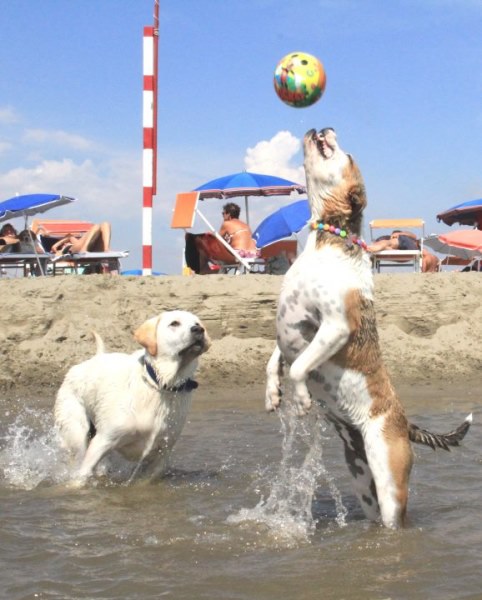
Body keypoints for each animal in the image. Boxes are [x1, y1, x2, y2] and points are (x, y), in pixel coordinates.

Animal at [54, 312, 209, 486]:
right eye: (174, 323)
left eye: (198, 323)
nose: (198, 329)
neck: (160, 385)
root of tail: (94, 358)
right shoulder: (103, 441)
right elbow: (82, 475)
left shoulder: (162, 453)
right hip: (76, 430)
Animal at [264, 127, 470, 528]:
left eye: (348, 156)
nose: (324, 127)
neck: (328, 242)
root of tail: (404, 423)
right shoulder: (290, 325)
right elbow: (274, 361)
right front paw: (272, 393)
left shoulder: (335, 327)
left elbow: (298, 367)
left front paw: (300, 397)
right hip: (362, 483)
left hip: (389, 483)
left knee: (395, 520)